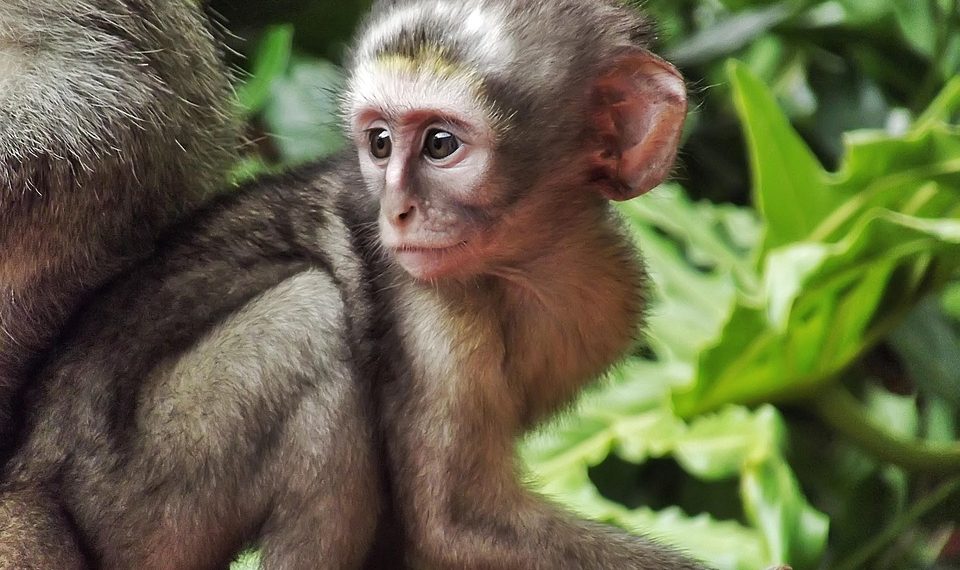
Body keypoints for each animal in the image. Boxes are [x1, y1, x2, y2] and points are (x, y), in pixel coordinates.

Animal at [1, 0, 704, 568]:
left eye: (440, 145)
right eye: (381, 143)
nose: (397, 210)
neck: (531, 263)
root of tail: (35, 466)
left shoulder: (613, 290)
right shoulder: (427, 299)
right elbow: (456, 525)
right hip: (133, 504)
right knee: (312, 316)